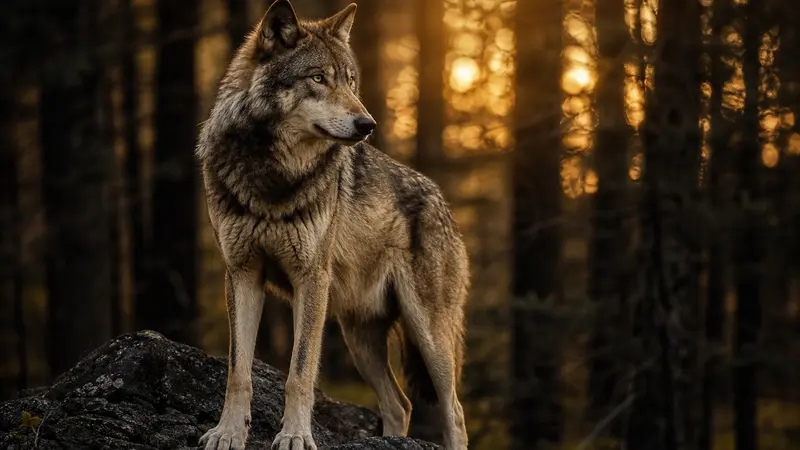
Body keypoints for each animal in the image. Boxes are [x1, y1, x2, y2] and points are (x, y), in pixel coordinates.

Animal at [196, 2, 469, 449]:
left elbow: (300, 373)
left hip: (428, 335)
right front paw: (229, 432)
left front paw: (294, 435)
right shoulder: (242, 274)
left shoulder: (311, 279)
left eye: (351, 80)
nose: (368, 124)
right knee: (400, 404)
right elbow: (239, 371)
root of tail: (442, 201)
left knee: (455, 412)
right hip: (360, 338)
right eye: (318, 78)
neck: (274, 176)